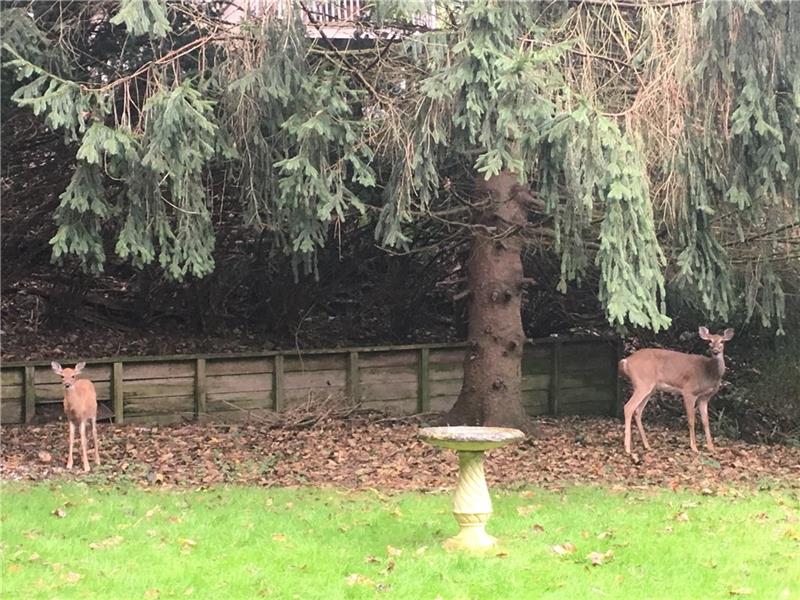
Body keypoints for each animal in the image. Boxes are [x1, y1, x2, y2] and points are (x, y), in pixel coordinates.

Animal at [618, 326, 734, 455]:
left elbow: (706, 422)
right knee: (628, 407)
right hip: (642, 383)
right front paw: (694, 447)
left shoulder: (704, 397)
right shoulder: (689, 391)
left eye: (722, 341)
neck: (710, 374)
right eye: (709, 341)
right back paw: (627, 448)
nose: (715, 351)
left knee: (638, 411)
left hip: (650, 388)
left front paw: (711, 448)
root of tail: (626, 361)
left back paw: (647, 446)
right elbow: (691, 420)